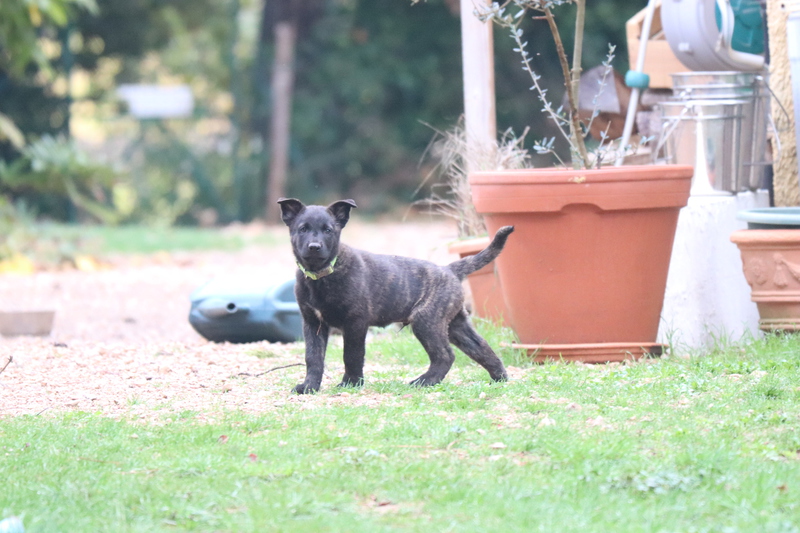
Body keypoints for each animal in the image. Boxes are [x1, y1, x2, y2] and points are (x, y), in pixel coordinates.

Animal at [277, 197, 514, 394]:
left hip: (426, 321)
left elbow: (351, 355)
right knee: (481, 347)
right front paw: (309, 386)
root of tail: (449, 269)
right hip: (455, 323)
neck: (322, 275)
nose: (314, 247)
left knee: (445, 355)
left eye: (328, 230)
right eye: (302, 229)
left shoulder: (355, 322)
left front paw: (350, 384)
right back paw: (499, 378)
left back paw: (424, 382)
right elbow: (313, 358)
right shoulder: (313, 323)